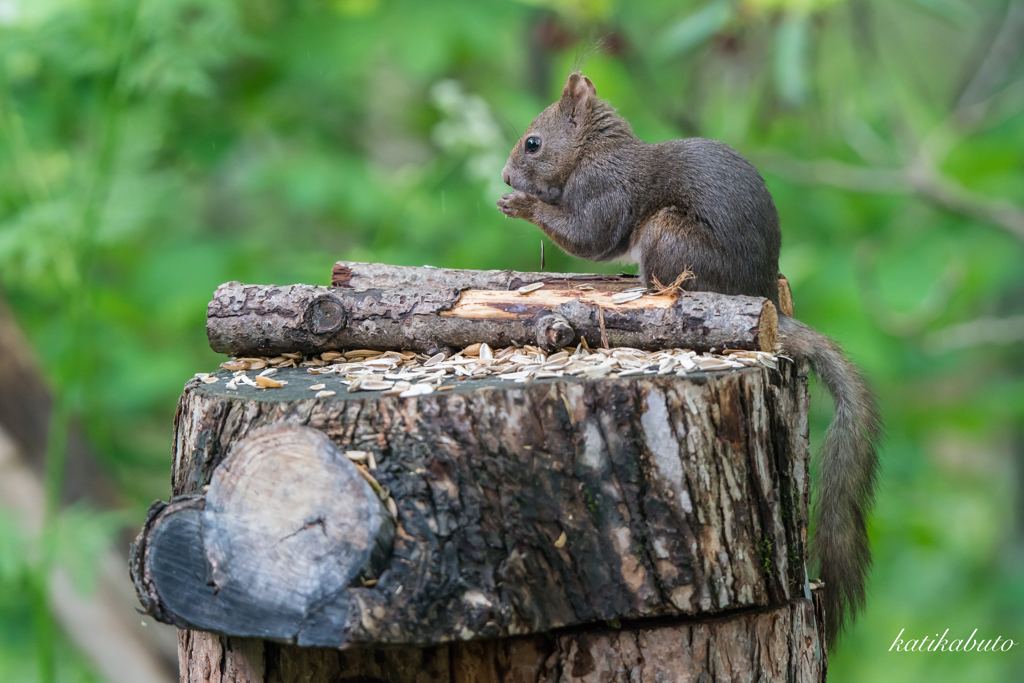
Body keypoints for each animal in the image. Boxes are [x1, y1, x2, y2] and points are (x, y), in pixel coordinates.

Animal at [495, 72, 880, 651]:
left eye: (533, 143)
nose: (505, 174)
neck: (592, 152)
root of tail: (755, 292)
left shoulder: (602, 192)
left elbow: (588, 235)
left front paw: (520, 205)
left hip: (668, 235)